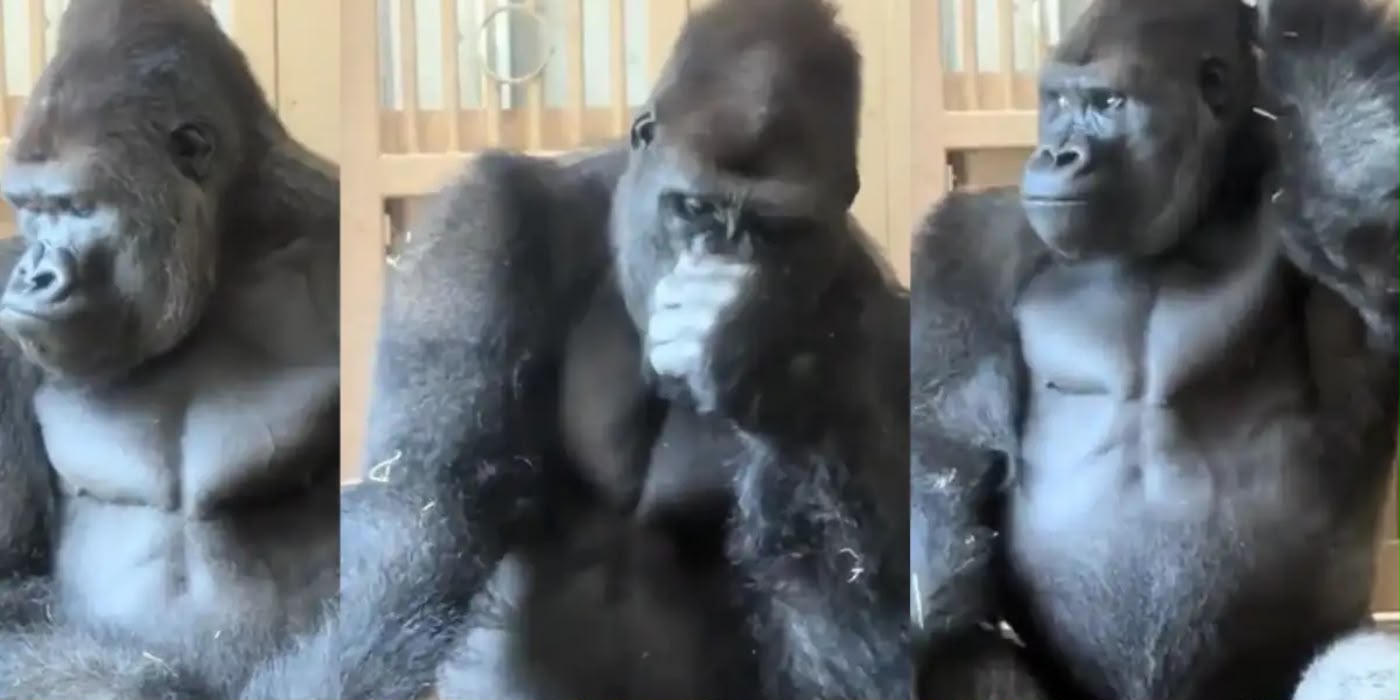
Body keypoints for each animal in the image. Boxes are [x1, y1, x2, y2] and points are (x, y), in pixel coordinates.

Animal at [334, 1, 911, 698]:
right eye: (694, 208)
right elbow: (423, 500)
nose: (722, 259)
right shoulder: (479, 224)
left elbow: (874, 618)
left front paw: (766, 361)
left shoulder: (878, 313)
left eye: (774, 228)